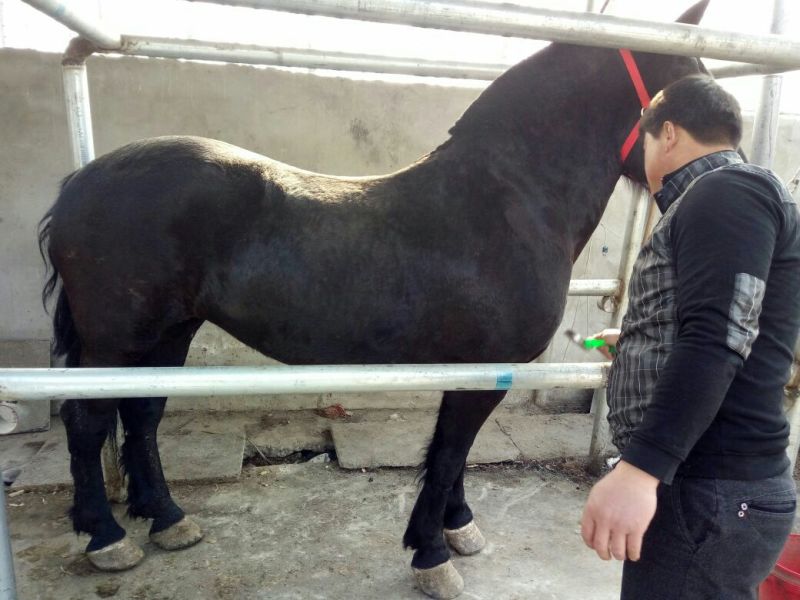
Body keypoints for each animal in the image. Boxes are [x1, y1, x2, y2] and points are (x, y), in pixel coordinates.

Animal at [37, 2, 711, 597]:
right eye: (692, 80)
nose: (717, 175)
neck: (507, 200)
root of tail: (78, 184)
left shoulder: (476, 369)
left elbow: (456, 454)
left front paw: (458, 528)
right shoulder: (481, 370)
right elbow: (448, 453)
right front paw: (433, 556)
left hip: (168, 331)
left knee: (141, 415)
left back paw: (168, 519)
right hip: (117, 339)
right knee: (86, 421)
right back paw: (106, 538)